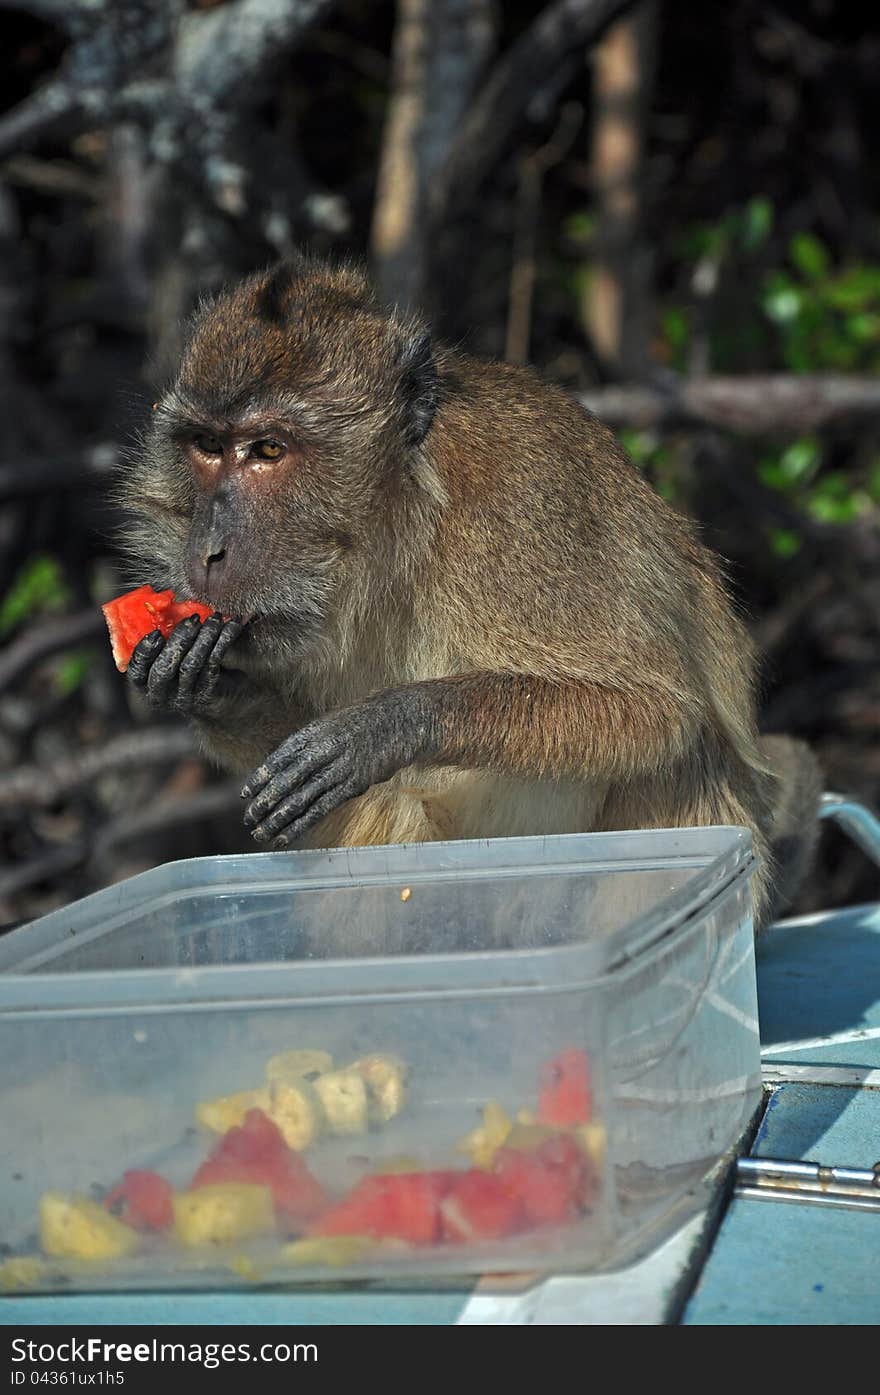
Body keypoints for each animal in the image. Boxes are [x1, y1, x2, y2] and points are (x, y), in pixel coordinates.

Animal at [120, 256, 825, 943]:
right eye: (207, 446)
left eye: (268, 449)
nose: (209, 549)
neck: (399, 529)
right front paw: (208, 684)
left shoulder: (525, 501)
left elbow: (656, 709)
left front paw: (388, 725)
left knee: (680, 758)